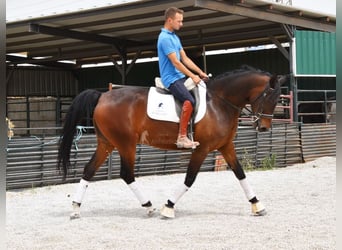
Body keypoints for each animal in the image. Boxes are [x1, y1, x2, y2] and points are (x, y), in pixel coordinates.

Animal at [58, 66, 286, 219]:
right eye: (269, 97)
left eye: (278, 100)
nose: (264, 127)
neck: (219, 102)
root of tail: (102, 96)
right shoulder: (202, 148)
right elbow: (190, 178)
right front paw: (168, 207)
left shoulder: (225, 146)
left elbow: (240, 173)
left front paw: (257, 205)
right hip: (125, 143)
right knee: (126, 174)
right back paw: (148, 206)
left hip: (107, 143)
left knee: (89, 170)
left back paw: (76, 208)